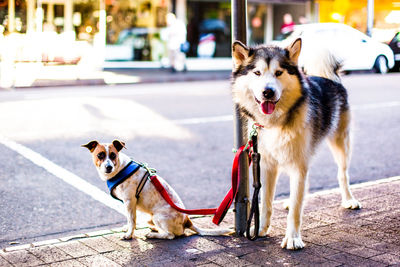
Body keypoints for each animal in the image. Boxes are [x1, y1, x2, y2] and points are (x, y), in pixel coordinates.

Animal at [82, 140, 231, 241]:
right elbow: (130, 219)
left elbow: (132, 219)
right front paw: (127, 228)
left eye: (113, 155)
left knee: (170, 235)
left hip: (158, 216)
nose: (108, 167)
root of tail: (187, 220)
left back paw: (153, 234)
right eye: (100, 155)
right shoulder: (128, 204)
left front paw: (129, 234)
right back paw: (154, 229)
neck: (120, 169)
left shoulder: (130, 201)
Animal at [230, 38, 360, 251]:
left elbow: (296, 212)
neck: (275, 122)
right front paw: (262, 229)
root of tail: (328, 78)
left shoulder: (299, 165)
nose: (268, 92)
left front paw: (292, 238)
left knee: (343, 174)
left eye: (278, 73)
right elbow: (266, 202)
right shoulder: (267, 165)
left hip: (341, 143)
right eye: (257, 73)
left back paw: (349, 199)